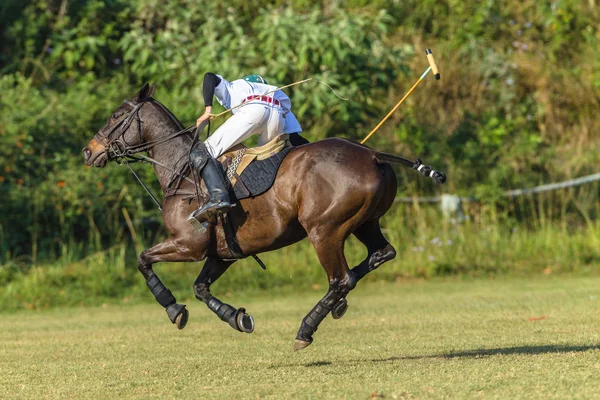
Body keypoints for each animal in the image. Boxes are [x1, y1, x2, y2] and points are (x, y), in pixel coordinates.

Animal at [82, 83, 442, 350]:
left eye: (116, 115)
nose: (89, 151)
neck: (181, 172)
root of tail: (372, 154)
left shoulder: (188, 245)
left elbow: (143, 260)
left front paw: (174, 309)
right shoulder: (223, 252)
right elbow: (200, 287)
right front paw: (237, 318)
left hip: (324, 230)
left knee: (342, 278)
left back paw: (305, 329)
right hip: (364, 222)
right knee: (381, 254)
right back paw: (336, 306)